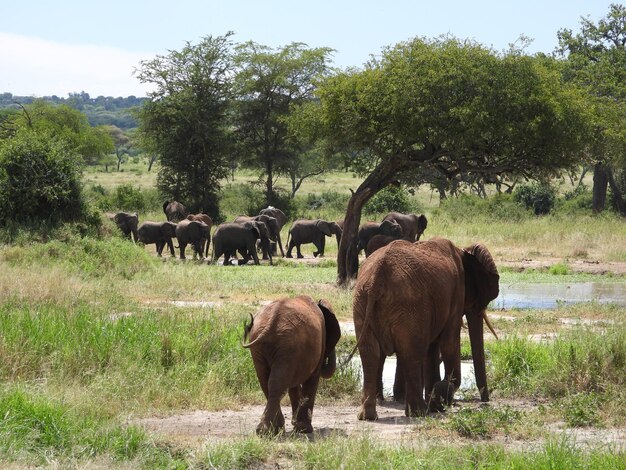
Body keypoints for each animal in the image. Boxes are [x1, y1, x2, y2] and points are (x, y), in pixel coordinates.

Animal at [243, 296, 342, 436]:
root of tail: (272, 322)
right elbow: (312, 380)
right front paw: (304, 429)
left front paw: (296, 425)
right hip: (287, 344)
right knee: (275, 383)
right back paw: (269, 431)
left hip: (262, 346)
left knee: (266, 381)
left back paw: (270, 430)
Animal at [352, 239, 498, 418]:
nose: (485, 401)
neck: (463, 250)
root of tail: (376, 278)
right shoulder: (456, 294)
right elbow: (449, 344)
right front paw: (440, 397)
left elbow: (432, 348)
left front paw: (436, 403)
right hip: (409, 305)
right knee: (412, 353)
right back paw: (419, 412)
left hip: (362, 301)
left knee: (370, 354)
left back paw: (368, 416)